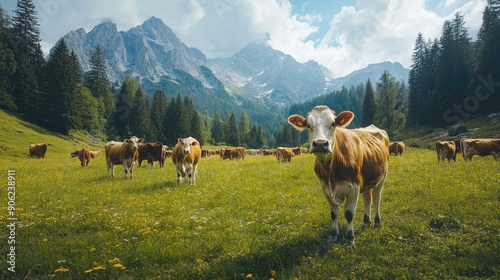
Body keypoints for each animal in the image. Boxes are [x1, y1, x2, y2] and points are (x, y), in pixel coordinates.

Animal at [290, 106, 390, 246]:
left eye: (333, 124)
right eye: (308, 125)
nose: (320, 144)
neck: (331, 172)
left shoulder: (354, 187)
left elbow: (349, 213)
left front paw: (350, 238)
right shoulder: (325, 188)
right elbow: (334, 213)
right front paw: (333, 235)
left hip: (382, 176)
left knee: (376, 199)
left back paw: (377, 223)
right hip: (367, 179)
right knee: (367, 199)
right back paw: (366, 222)